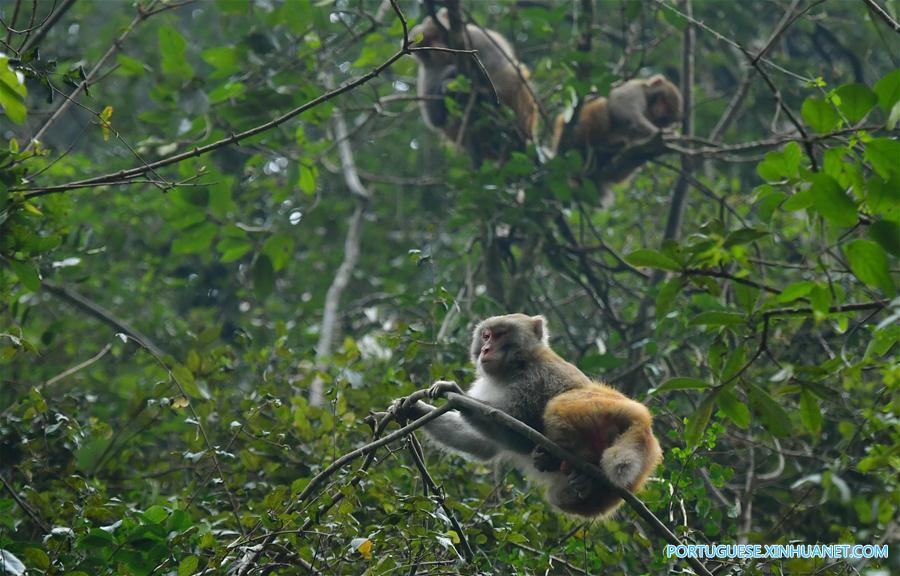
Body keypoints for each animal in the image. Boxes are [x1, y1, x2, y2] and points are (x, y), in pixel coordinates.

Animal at [398, 312, 664, 520]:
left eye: (500, 334)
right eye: (486, 335)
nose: (485, 349)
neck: (516, 365)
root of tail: (644, 423)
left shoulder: (534, 380)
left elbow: (514, 426)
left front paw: (453, 391)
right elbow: (484, 446)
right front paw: (412, 409)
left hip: (605, 407)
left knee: (558, 405)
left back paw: (562, 458)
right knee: (559, 496)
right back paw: (582, 480)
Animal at [408, 9, 536, 162]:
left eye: (436, 36)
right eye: (427, 43)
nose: (436, 48)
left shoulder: (477, 38)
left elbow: (501, 70)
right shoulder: (428, 73)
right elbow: (436, 119)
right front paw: (448, 78)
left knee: (513, 75)